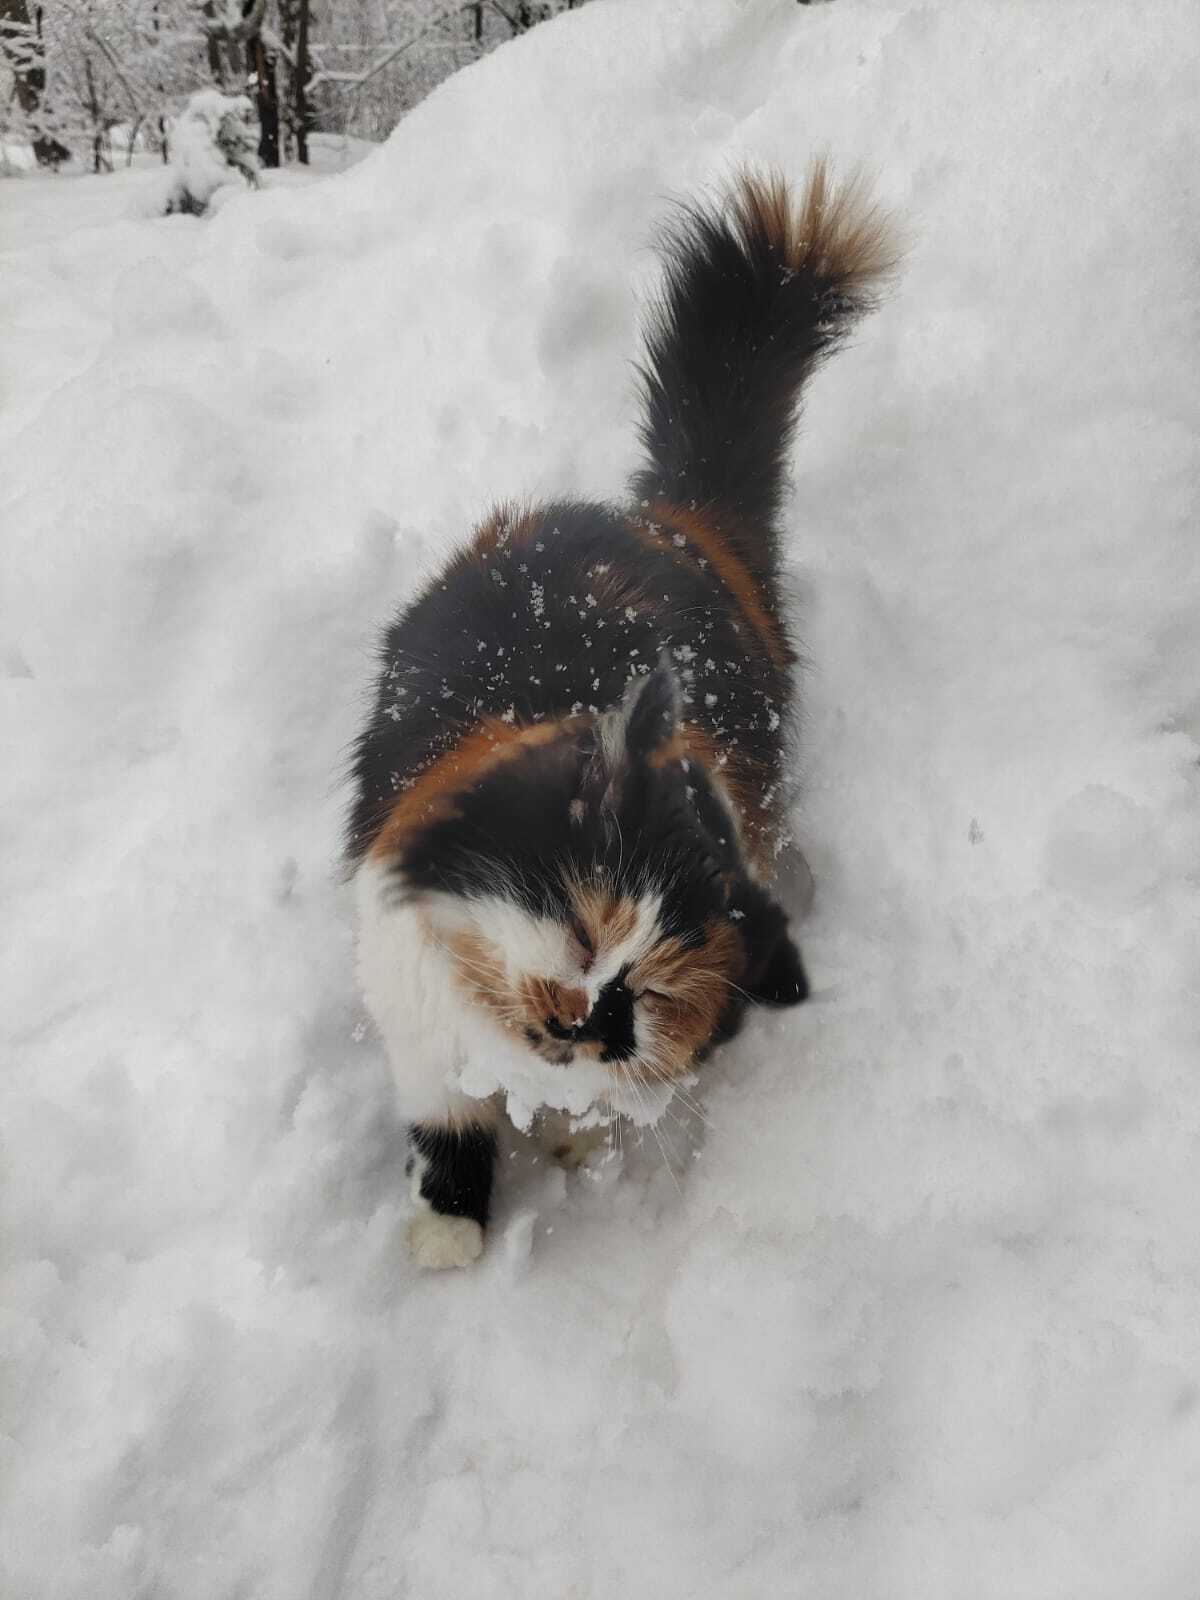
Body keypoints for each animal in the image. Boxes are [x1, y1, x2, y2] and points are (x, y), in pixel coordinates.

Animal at [342, 159, 896, 1260]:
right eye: (590, 932)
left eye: (658, 997)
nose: (591, 1021)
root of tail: (671, 520)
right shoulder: (415, 1028)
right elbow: (443, 1134)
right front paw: (446, 1243)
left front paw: (558, 1148)